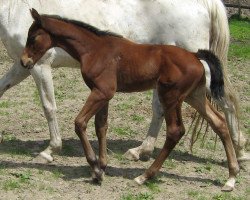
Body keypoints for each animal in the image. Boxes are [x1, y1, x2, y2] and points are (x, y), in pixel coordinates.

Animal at [0, 0, 248, 164]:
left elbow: (49, 106)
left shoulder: (39, 66)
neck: (14, 9)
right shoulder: (22, 66)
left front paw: (50, 150)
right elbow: (2, 89)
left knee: (225, 101)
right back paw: (141, 151)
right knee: (163, 109)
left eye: (34, 37)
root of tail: (207, 3)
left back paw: (240, 152)